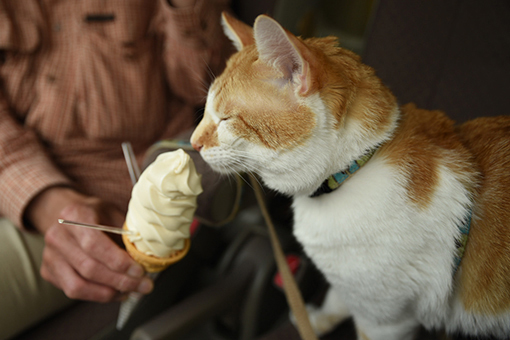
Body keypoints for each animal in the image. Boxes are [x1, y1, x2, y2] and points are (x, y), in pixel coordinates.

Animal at [190, 11, 510, 338]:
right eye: (206, 111)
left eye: (226, 119)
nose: (193, 142)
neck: (352, 171)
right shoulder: (353, 290)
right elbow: (337, 299)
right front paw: (314, 321)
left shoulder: (386, 320)